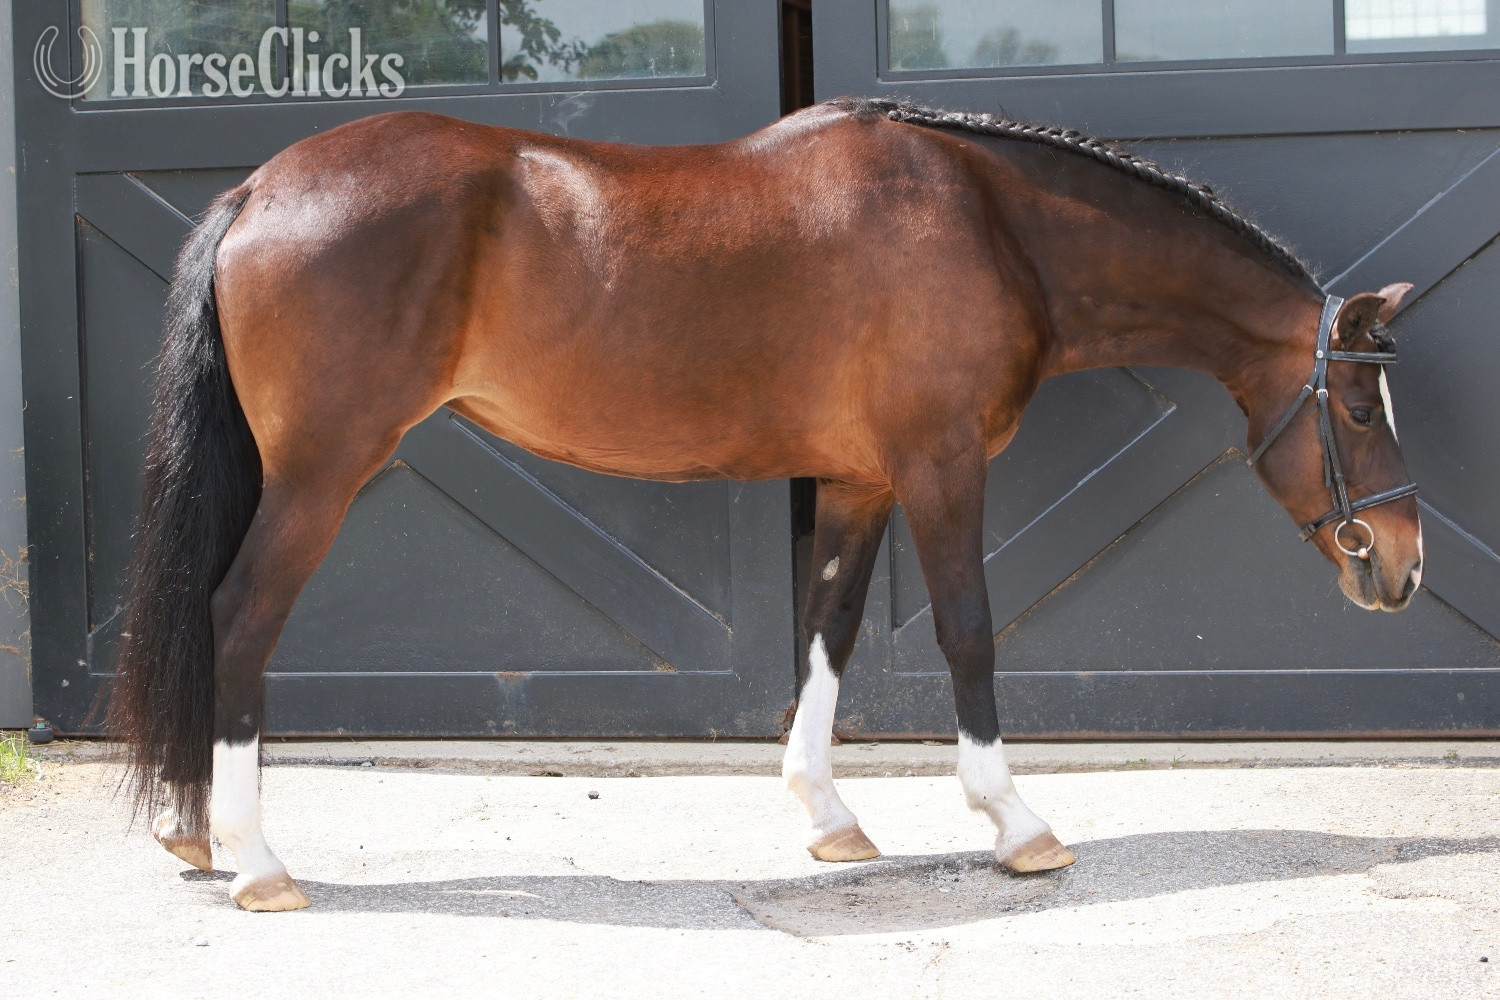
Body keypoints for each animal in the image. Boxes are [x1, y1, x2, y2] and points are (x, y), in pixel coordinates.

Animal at [105, 97, 1423, 911]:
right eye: (1361, 409)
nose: (1402, 568)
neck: (990, 221)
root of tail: (261, 188)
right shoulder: (942, 466)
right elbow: (967, 635)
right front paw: (1016, 824)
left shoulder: (859, 478)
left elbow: (828, 636)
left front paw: (829, 818)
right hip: (322, 475)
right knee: (234, 621)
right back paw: (258, 861)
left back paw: (195, 829)